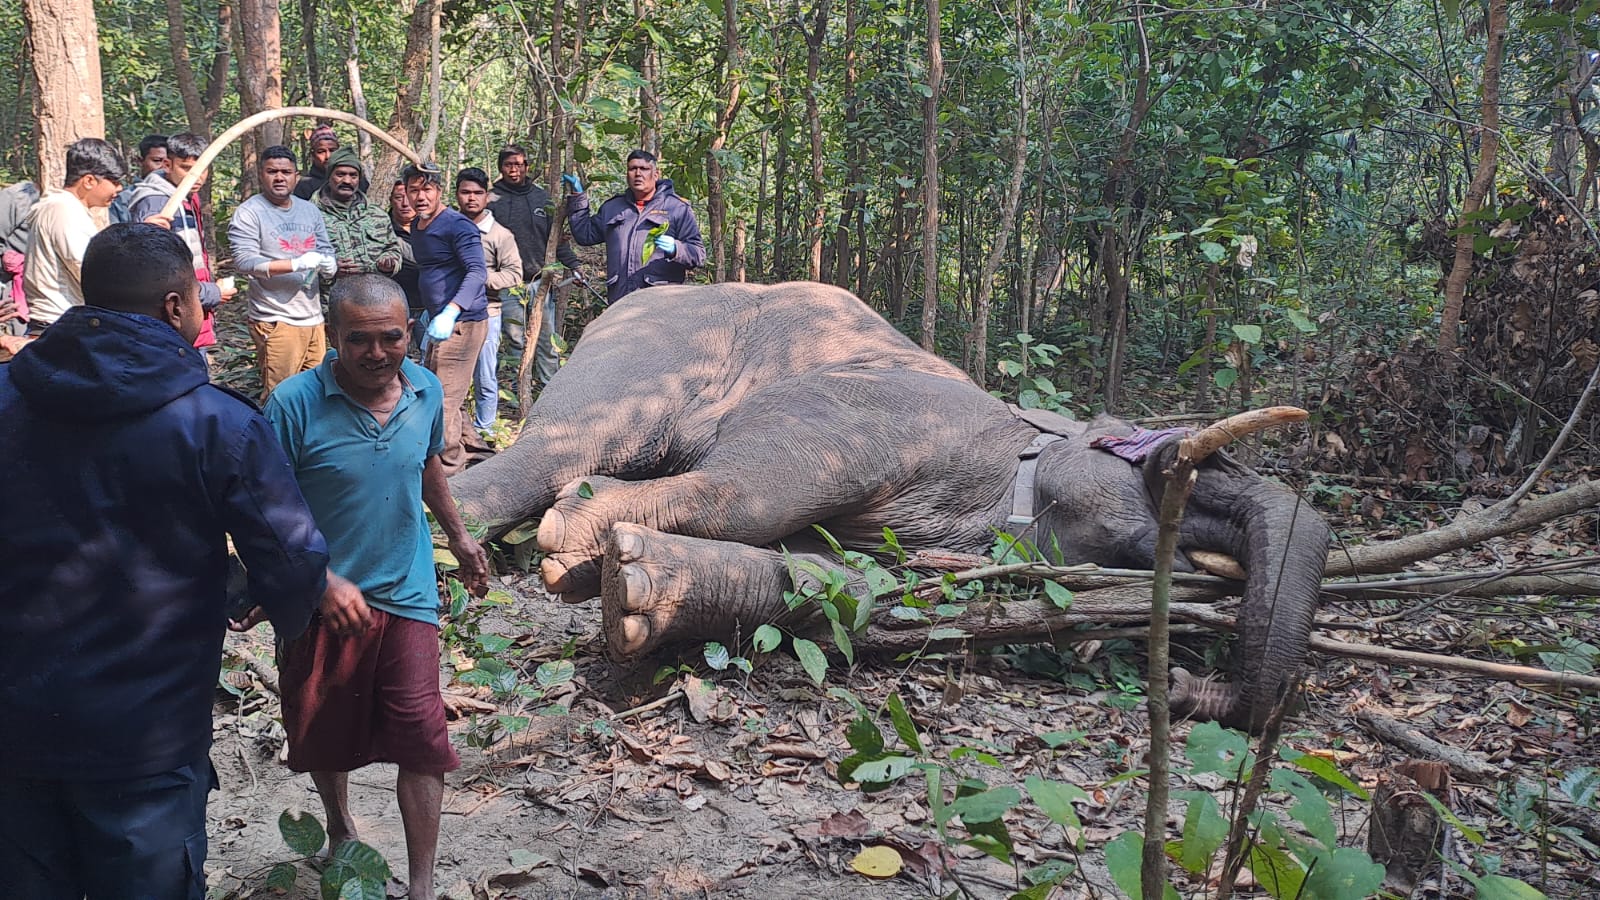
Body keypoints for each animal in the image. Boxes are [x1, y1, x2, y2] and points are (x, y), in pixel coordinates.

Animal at [451, 280, 1324, 730]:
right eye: (1166, 465)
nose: (1182, 688)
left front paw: (633, 589)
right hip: (648, 346)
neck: (1023, 443)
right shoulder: (874, 413)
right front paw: (575, 540)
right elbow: (757, 490)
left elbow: (832, 580)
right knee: (554, 450)